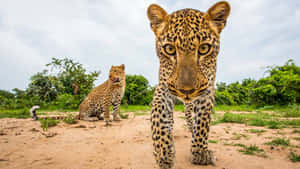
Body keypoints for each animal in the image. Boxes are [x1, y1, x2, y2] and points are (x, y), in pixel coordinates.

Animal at [146, 1, 231, 169]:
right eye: (169, 49)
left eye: (204, 48)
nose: (187, 91)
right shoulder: (163, 87)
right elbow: (158, 115)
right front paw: (163, 154)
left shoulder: (207, 91)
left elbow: (202, 122)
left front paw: (199, 154)